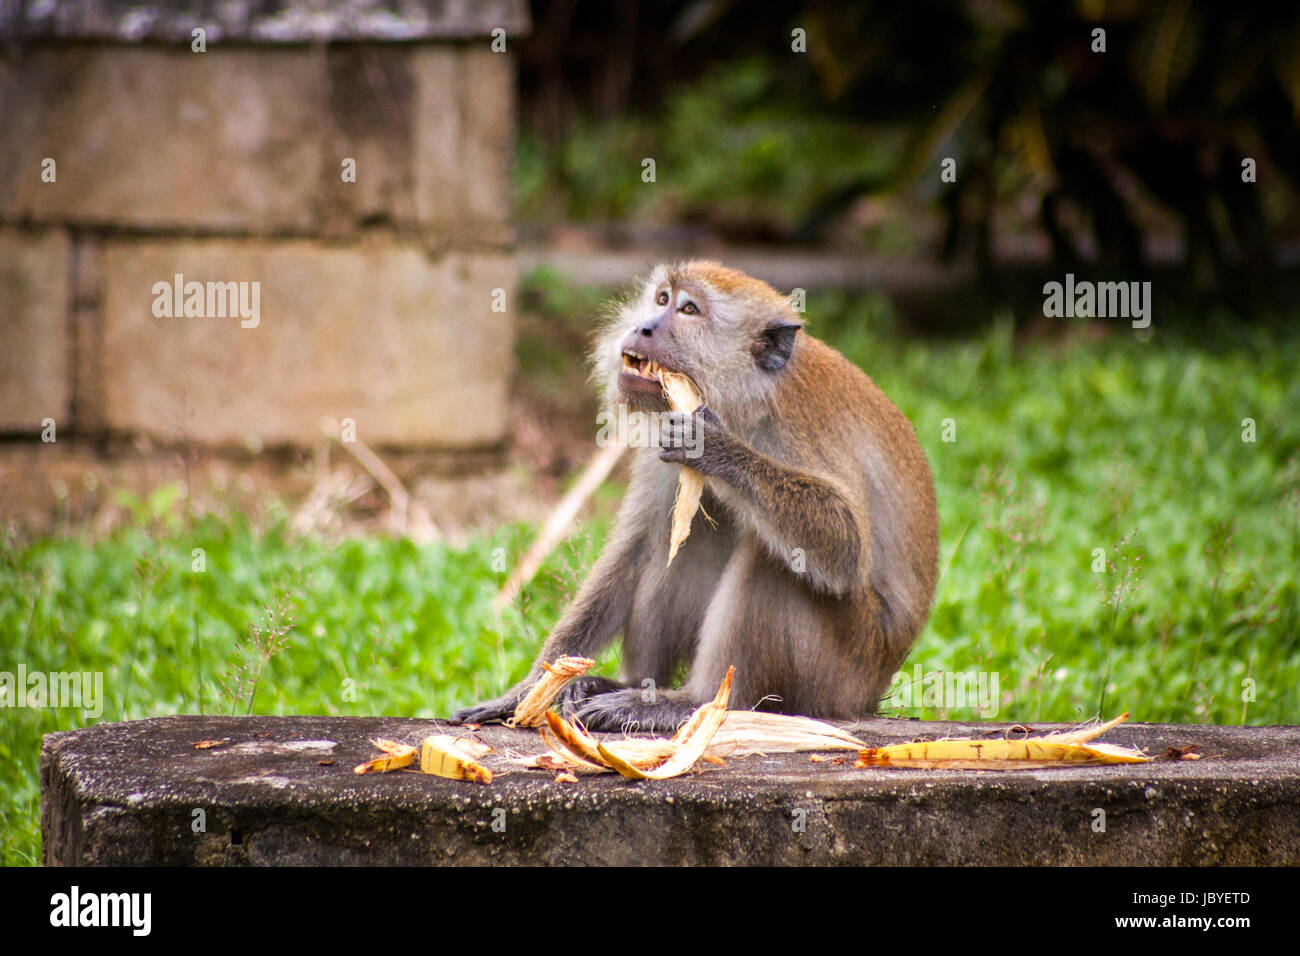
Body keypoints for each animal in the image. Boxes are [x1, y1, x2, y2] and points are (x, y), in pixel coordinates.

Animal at [452, 261, 941, 733]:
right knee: (680, 541)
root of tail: (871, 695)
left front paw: (714, 448)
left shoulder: (799, 427)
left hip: (841, 670)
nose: (644, 327)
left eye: (688, 310)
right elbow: (636, 545)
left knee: (775, 557)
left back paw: (691, 702)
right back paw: (632, 685)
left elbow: (846, 544)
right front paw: (525, 692)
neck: (744, 403)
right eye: (661, 299)